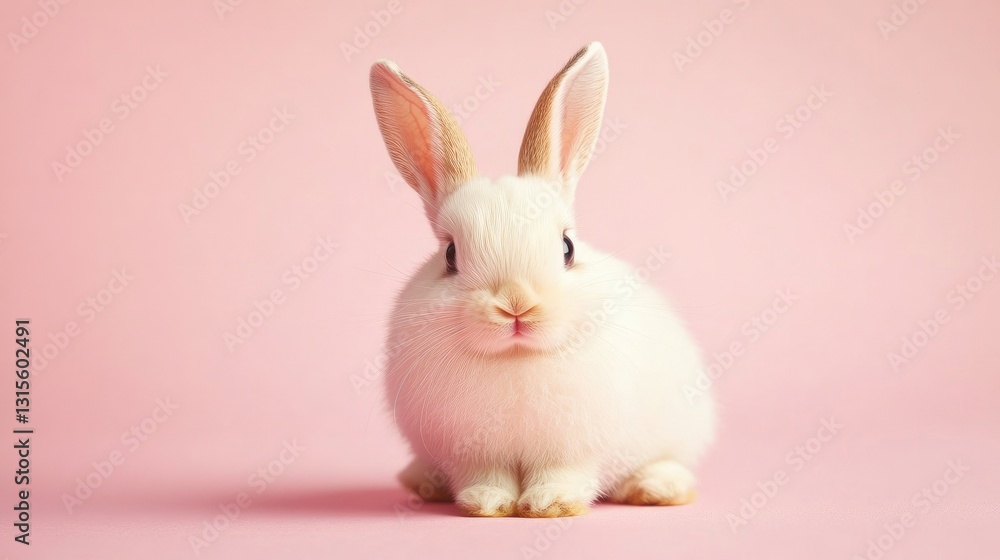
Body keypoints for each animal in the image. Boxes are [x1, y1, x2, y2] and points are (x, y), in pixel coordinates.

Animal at [369, 42, 716, 518]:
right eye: (451, 255)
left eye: (567, 247)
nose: (516, 305)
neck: (517, 358)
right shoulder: (476, 455)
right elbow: (487, 477)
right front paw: (486, 502)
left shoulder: (574, 451)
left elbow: (563, 474)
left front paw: (550, 503)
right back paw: (424, 481)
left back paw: (657, 488)